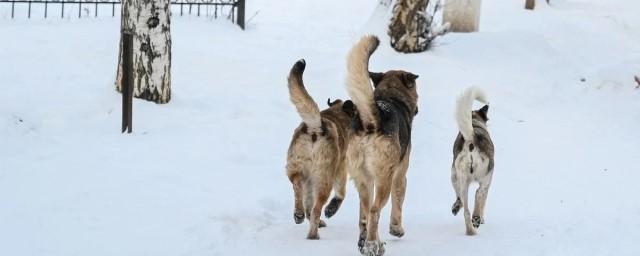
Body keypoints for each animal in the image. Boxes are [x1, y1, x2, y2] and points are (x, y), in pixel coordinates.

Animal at [286, 58, 360, 240]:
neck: (336, 114)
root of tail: (315, 127)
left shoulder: (309, 178)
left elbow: (308, 203)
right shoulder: (341, 166)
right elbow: (341, 193)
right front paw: (331, 209)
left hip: (296, 167)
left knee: (298, 189)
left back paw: (298, 214)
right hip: (324, 178)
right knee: (317, 208)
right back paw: (313, 234)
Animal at [344, 34, 420, 256]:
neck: (390, 96)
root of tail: (371, 120)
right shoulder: (400, 176)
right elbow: (398, 203)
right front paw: (396, 229)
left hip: (363, 180)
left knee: (365, 214)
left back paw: (367, 243)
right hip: (384, 179)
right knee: (375, 210)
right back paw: (371, 244)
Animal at [450, 86, 496, 236]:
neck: (474, 122)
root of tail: (471, 139)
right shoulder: (488, 182)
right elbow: (483, 201)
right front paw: (481, 219)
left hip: (458, 177)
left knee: (465, 210)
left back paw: (470, 229)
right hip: (485, 178)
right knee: (478, 194)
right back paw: (476, 219)